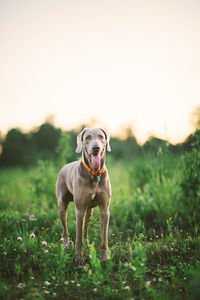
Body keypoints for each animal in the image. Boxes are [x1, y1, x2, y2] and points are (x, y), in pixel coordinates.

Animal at [56, 127, 111, 264]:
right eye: (87, 138)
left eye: (101, 136)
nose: (96, 147)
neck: (95, 175)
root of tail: (63, 167)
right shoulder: (79, 210)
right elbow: (78, 237)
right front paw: (79, 259)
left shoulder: (105, 209)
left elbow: (104, 238)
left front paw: (105, 258)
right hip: (62, 205)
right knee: (65, 230)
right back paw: (66, 247)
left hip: (89, 210)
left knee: (85, 230)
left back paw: (87, 245)